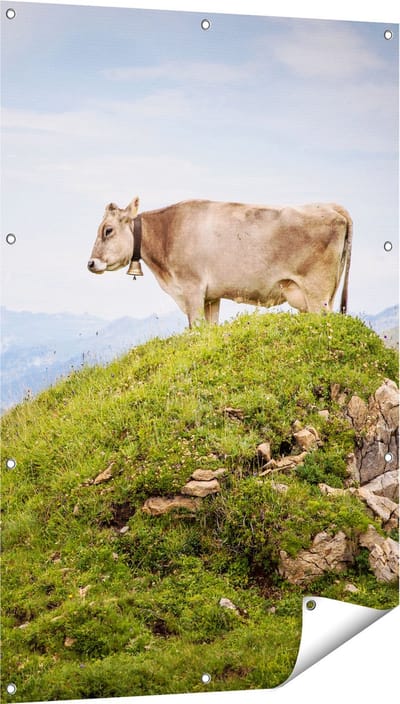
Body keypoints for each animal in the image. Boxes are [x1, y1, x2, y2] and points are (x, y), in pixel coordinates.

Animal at [88, 197, 352, 327]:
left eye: (108, 230)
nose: (90, 263)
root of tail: (333, 207)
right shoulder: (211, 296)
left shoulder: (192, 289)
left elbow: (195, 329)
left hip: (317, 293)